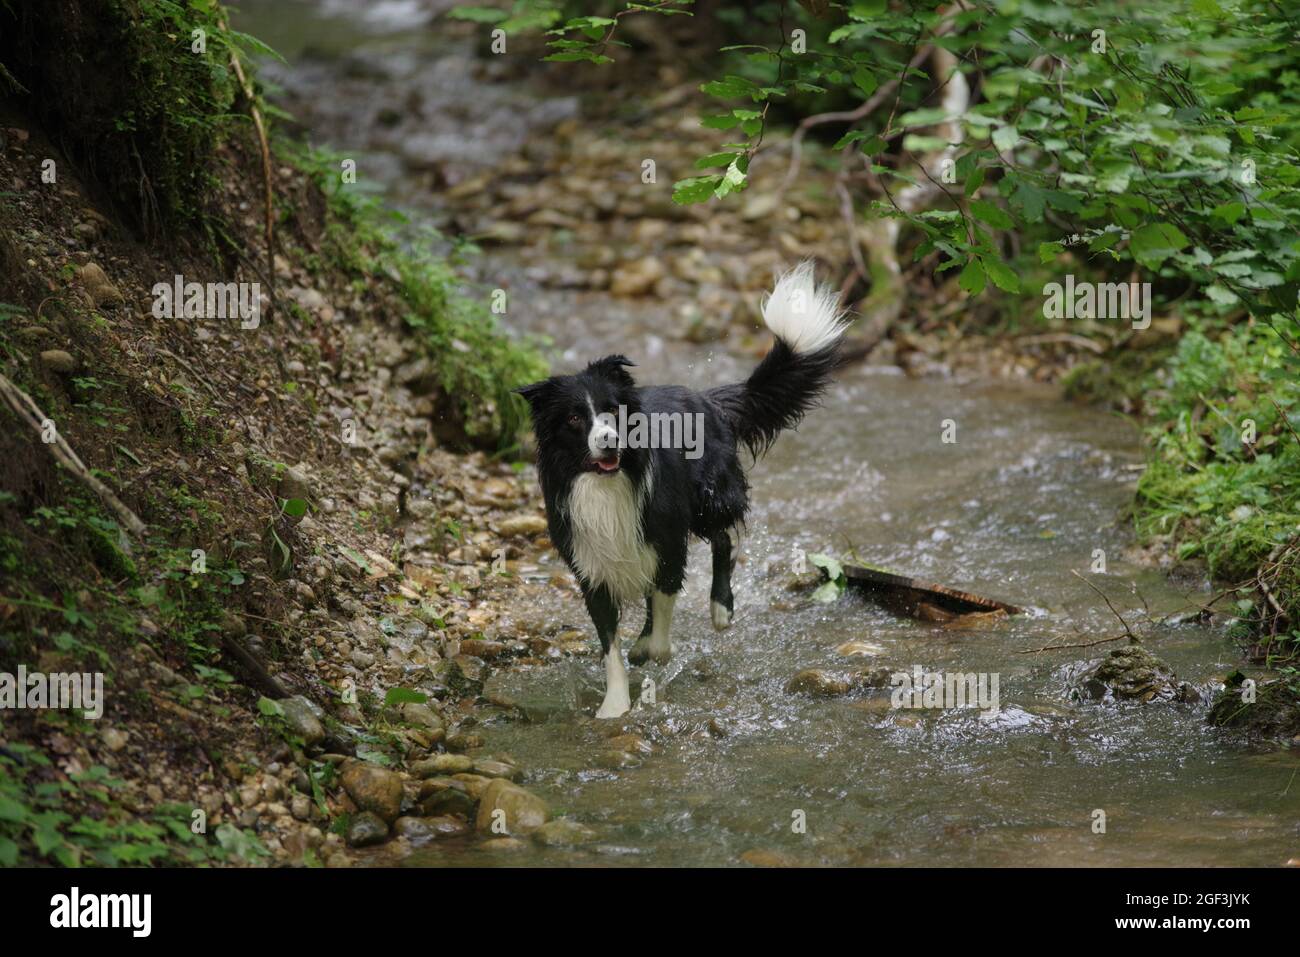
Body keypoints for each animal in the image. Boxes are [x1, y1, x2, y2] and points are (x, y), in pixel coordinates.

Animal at [512, 261, 847, 717]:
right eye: (575, 419)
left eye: (612, 410)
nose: (610, 441)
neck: (607, 483)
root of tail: (708, 399)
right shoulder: (592, 566)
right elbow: (610, 645)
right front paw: (615, 704)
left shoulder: (667, 540)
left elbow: (664, 611)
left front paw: (656, 651)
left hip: (709, 499)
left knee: (723, 540)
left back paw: (720, 608)